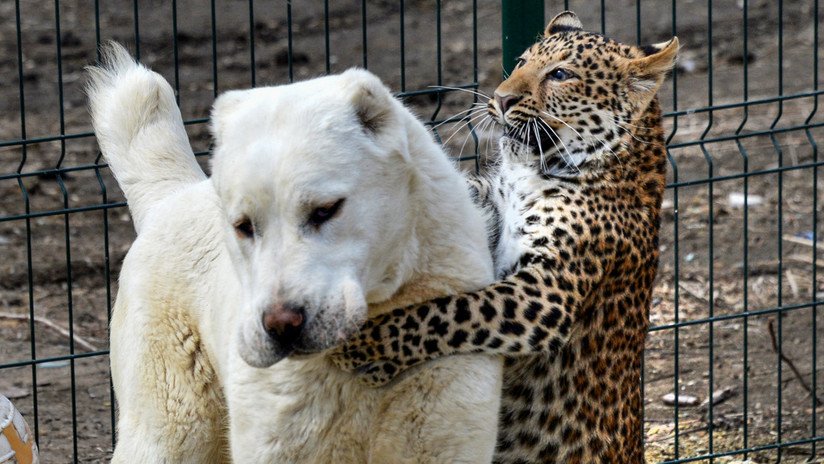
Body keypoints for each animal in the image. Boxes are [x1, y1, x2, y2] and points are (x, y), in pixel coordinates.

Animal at [332, 11, 679, 464]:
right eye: (521, 62)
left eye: (561, 74)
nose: (500, 99)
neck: (529, 173)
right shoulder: (486, 204)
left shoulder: (546, 295)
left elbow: (450, 313)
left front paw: (365, 345)